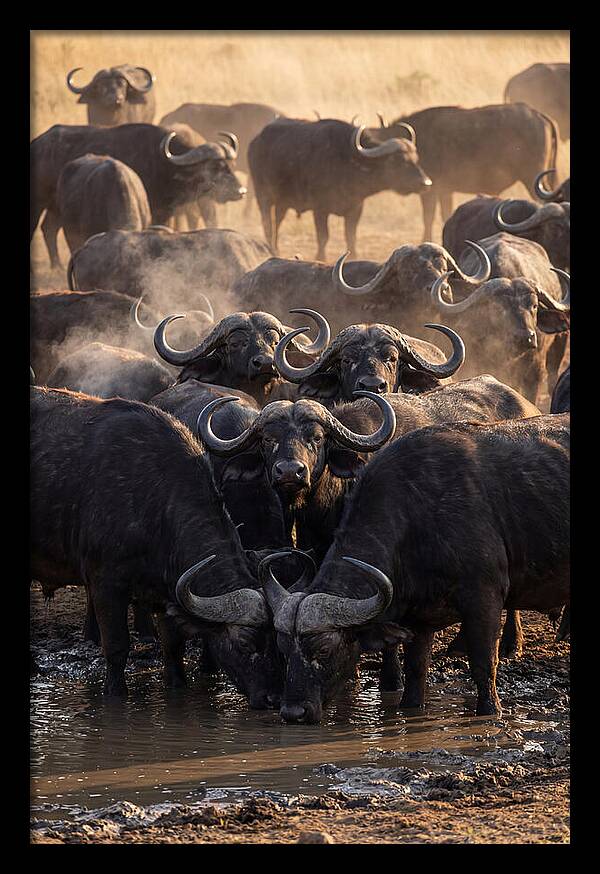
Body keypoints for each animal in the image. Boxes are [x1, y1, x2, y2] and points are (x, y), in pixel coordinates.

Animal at [248, 118, 432, 260]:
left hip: (283, 202)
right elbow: (323, 236)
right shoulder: (320, 209)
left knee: (277, 221)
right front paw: (320, 257)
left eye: (415, 158)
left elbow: (351, 236)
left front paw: (354, 256)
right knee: (267, 223)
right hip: (263, 196)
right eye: (397, 160)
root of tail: (255, 142)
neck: (348, 162)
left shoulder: (356, 208)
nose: (425, 183)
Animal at [261, 414, 569, 723]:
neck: (418, 516)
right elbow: (415, 672)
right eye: (283, 648)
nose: (293, 712)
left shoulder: (484, 598)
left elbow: (483, 666)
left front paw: (490, 711)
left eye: (323, 649)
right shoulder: (418, 620)